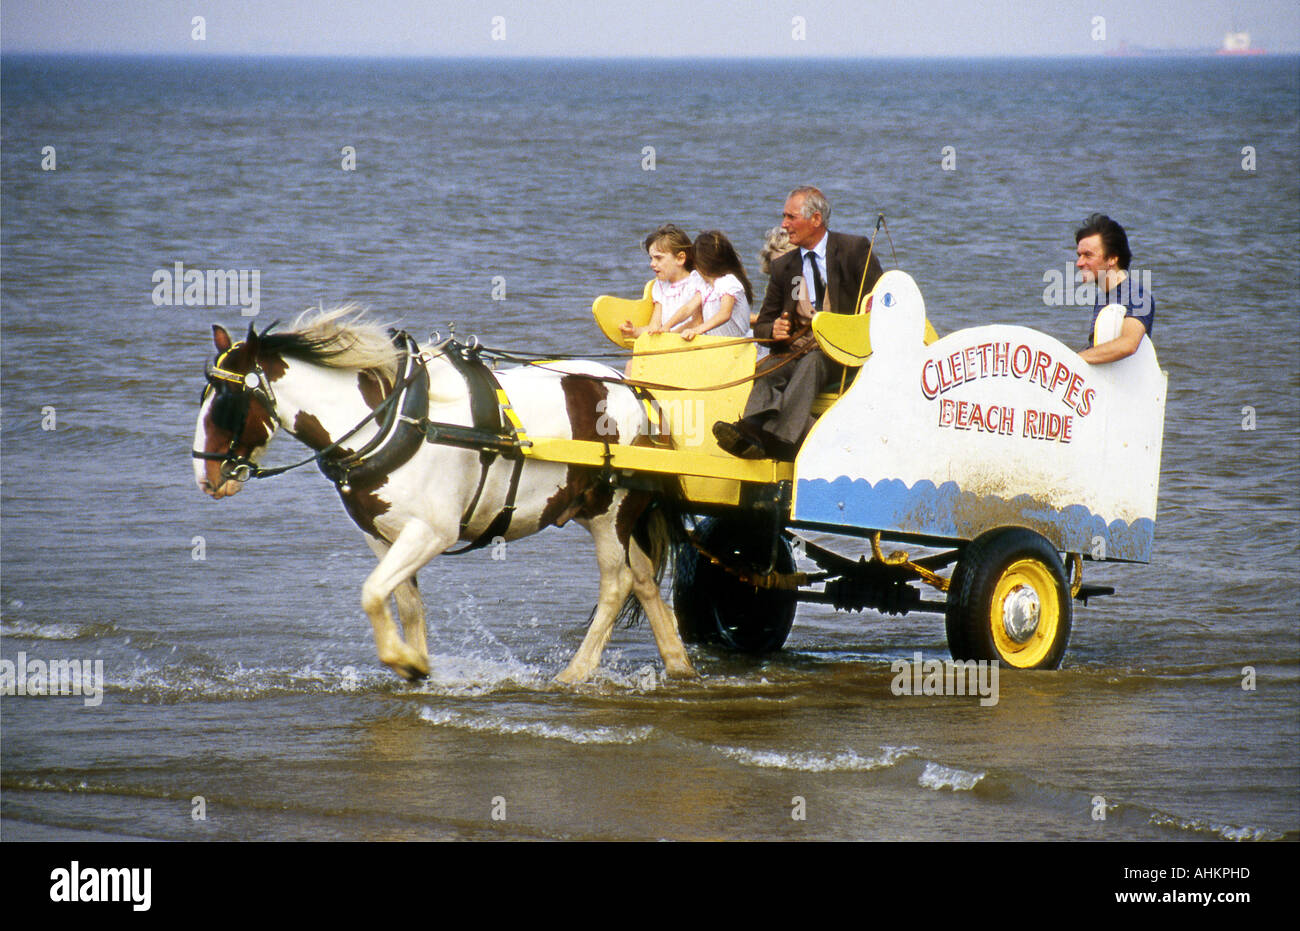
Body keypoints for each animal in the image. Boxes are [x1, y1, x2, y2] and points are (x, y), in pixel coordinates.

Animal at [189, 309, 691, 681]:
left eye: (227, 402)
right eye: (205, 394)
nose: (205, 473)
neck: (393, 421)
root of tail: (637, 392)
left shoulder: (431, 532)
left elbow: (372, 594)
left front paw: (407, 662)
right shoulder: (381, 536)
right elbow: (406, 605)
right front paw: (414, 660)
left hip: (612, 511)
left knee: (617, 583)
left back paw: (576, 671)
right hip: (602, 512)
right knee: (643, 579)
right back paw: (678, 663)